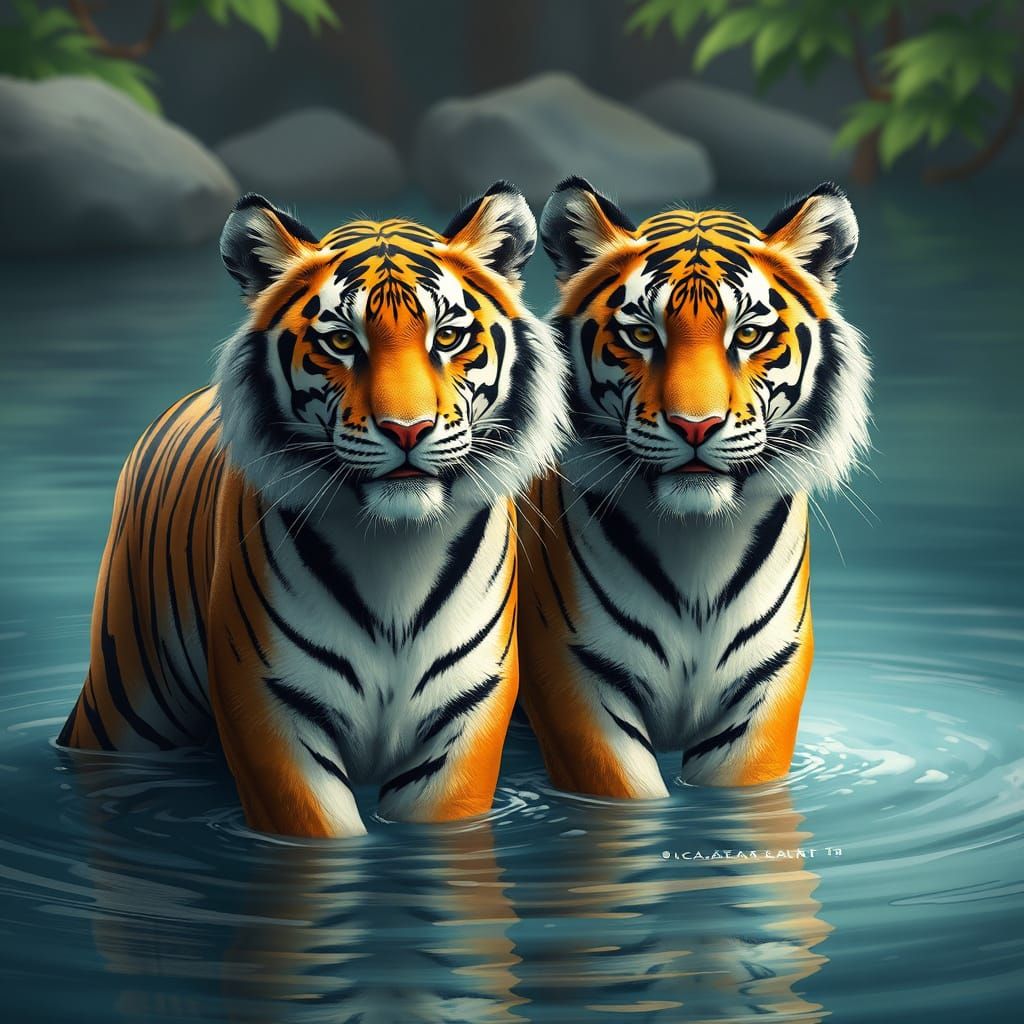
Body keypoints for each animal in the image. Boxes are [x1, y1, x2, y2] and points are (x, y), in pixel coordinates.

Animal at [58, 181, 570, 838]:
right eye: (342, 342)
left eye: (448, 338)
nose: (408, 430)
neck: (395, 551)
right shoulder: (272, 708)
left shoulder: (466, 713)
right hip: (124, 700)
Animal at [517, 177, 869, 797]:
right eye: (640, 333)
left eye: (748, 334)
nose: (695, 425)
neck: (696, 544)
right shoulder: (574, 674)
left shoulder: (768, 680)